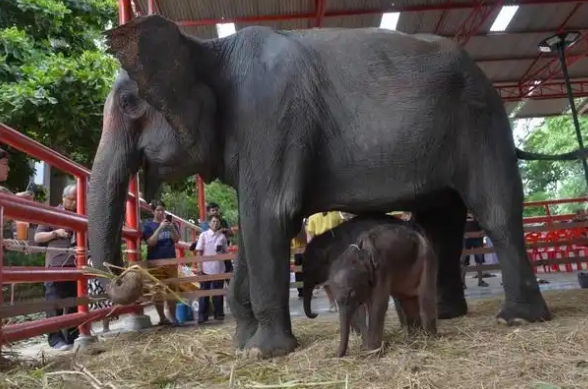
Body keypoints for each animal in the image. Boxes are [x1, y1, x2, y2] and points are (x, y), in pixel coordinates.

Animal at [330, 223, 436, 356]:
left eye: (351, 293)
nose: (336, 355)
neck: (360, 251)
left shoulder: (382, 268)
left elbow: (378, 304)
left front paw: (372, 352)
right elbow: (360, 310)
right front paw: (367, 349)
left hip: (427, 260)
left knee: (425, 299)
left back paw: (429, 339)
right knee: (407, 301)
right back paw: (414, 338)